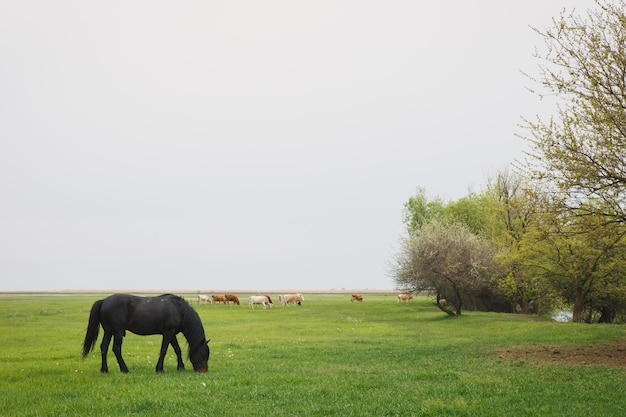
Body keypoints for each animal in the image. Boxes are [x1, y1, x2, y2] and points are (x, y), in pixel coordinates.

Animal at [80, 294, 210, 372]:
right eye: (203, 354)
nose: (203, 371)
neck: (178, 310)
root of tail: (103, 301)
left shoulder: (172, 333)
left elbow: (177, 349)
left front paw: (180, 367)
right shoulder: (168, 332)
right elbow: (164, 350)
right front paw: (159, 368)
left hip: (109, 331)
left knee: (104, 347)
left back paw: (104, 369)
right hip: (118, 332)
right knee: (116, 349)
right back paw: (124, 369)